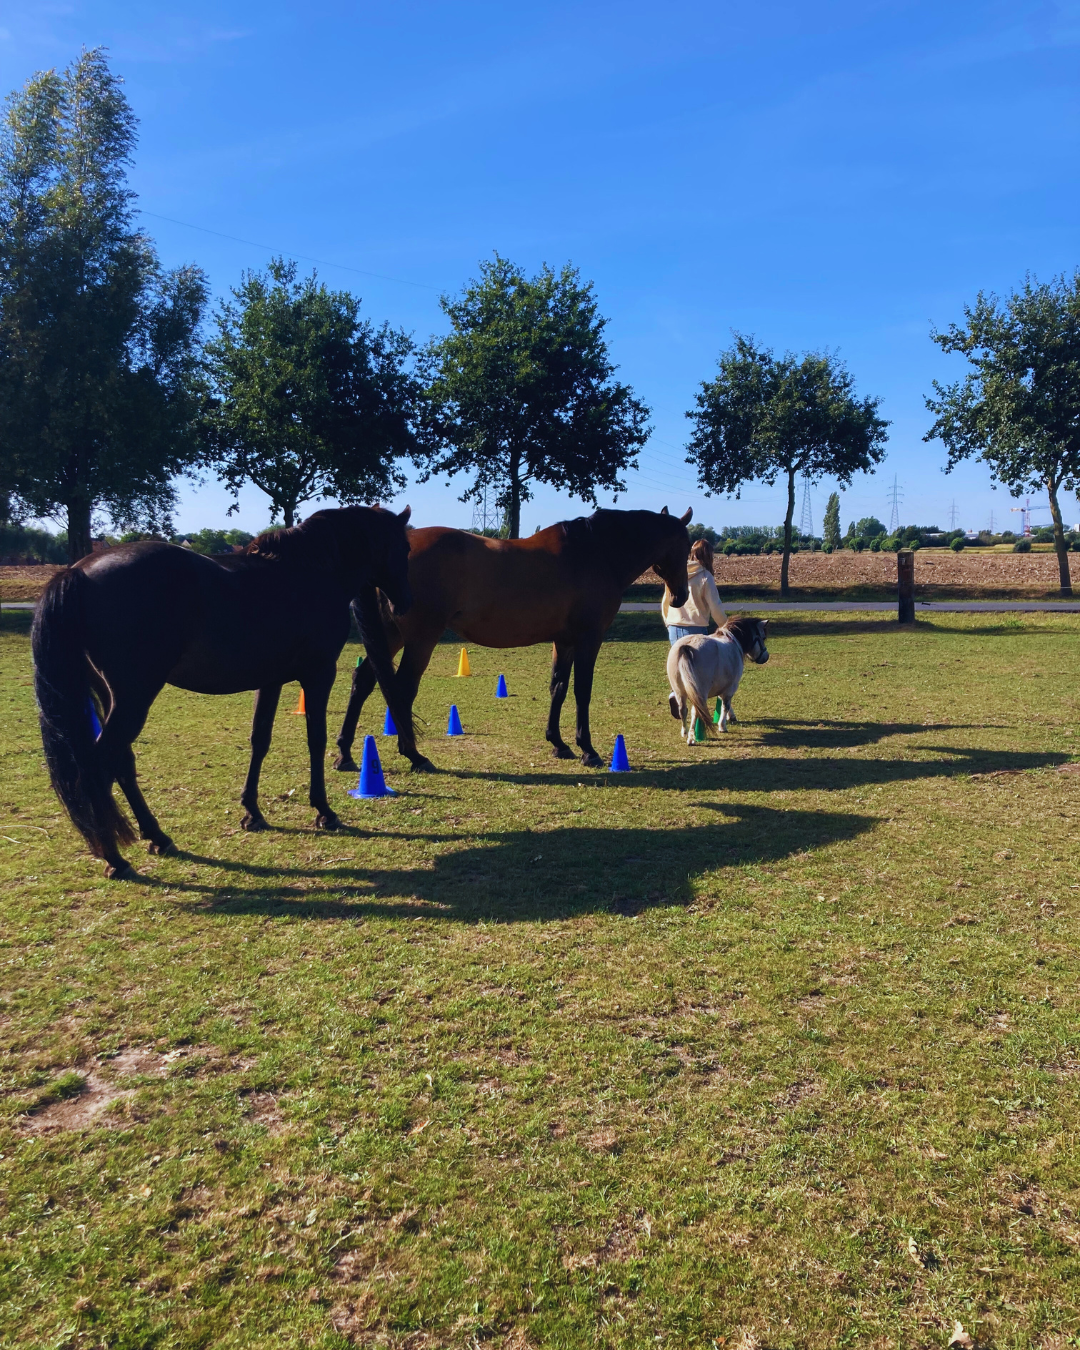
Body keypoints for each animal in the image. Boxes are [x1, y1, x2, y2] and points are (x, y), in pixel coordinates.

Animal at [32, 505, 414, 879]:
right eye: (405, 547)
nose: (403, 605)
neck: (312, 570)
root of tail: (77, 572)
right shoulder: (319, 674)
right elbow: (315, 740)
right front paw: (324, 811)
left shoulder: (270, 680)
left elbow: (260, 739)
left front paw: (252, 812)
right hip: (133, 697)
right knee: (98, 766)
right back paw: (115, 857)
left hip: (115, 698)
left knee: (121, 762)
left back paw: (157, 837)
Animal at [335, 506, 693, 772]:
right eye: (685, 546)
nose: (680, 597)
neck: (595, 553)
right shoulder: (589, 638)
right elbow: (582, 690)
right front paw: (587, 750)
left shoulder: (564, 641)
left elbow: (558, 687)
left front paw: (558, 744)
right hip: (421, 638)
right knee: (402, 689)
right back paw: (415, 755)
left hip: (391, 636)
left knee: (363, 680)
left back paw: (345, 754)